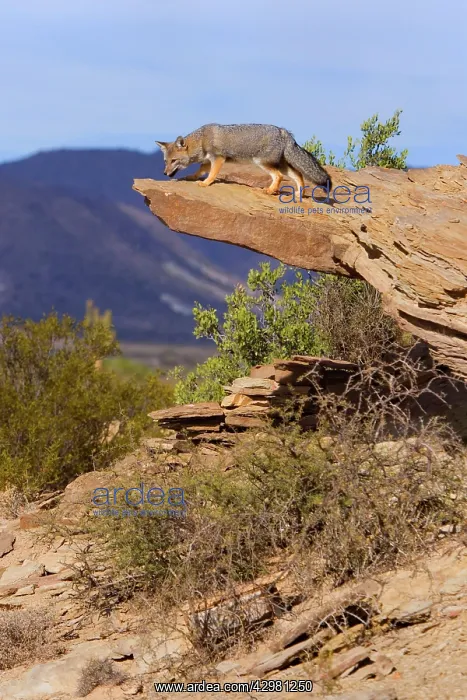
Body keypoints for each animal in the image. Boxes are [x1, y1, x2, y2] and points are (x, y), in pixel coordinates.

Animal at [155, 123, 332, 196]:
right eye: (165, 161)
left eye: (174, 161)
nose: (164, 173)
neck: (202, 140)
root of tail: (284, 132)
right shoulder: (207, 160)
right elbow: (200, 170)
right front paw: (193, 177)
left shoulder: (218, 159)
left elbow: (212, 174)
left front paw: (206, 183)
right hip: (281, 165)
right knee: (299, 175)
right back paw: (298, 193)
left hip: (262, 163)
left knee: (279, 176)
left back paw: (270, 190)